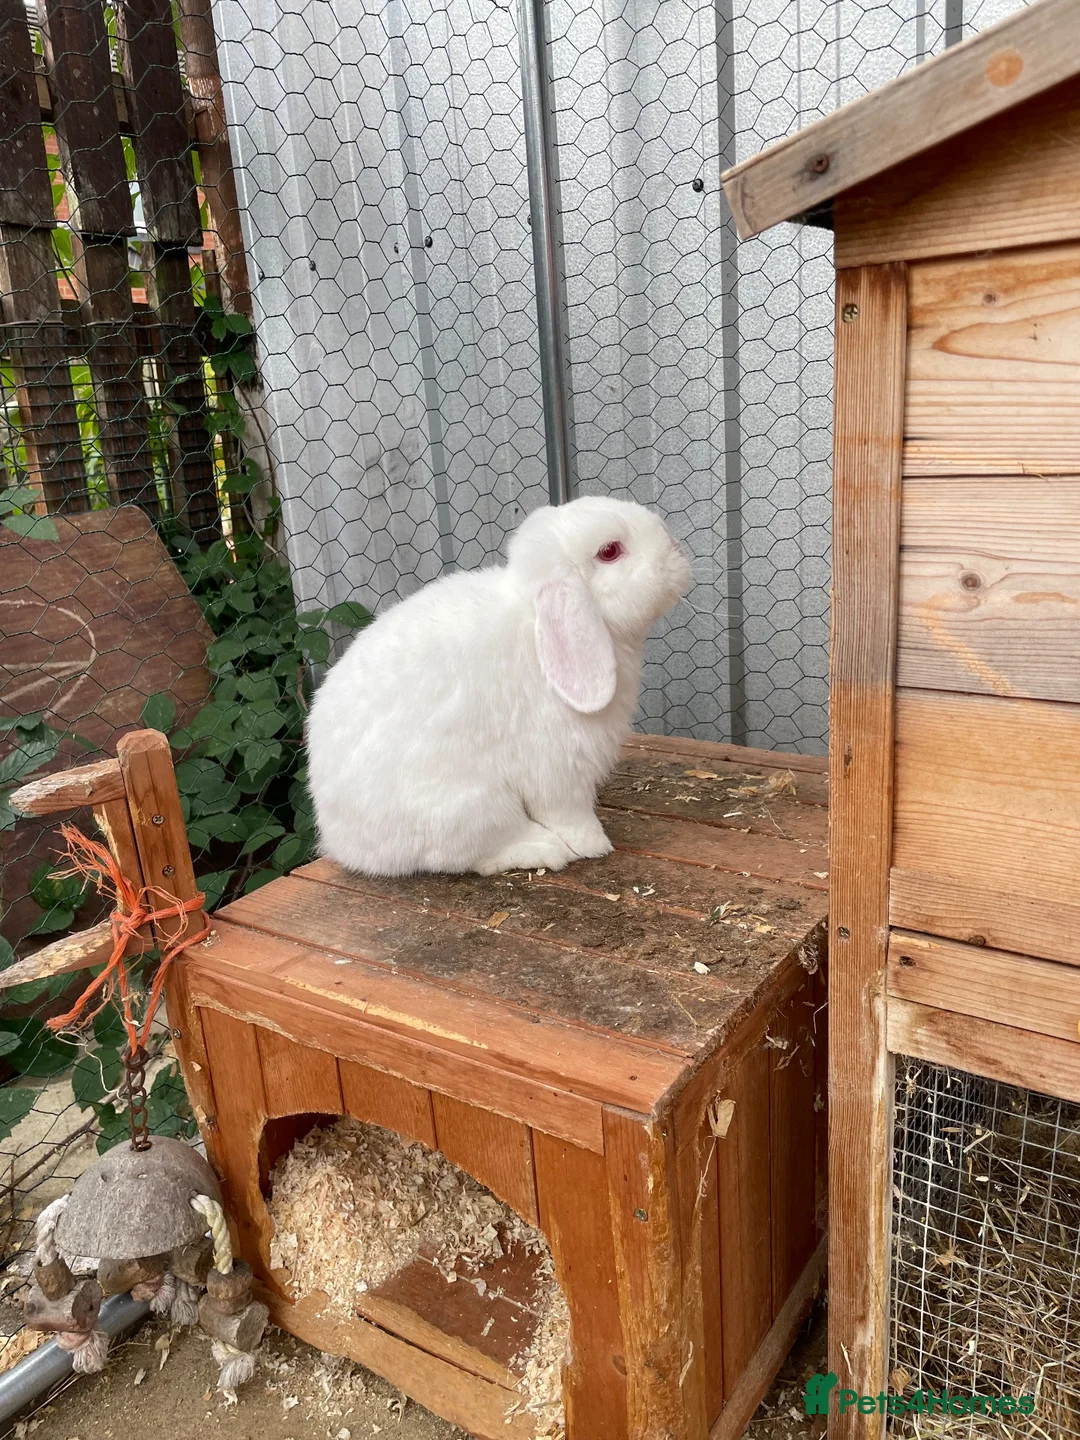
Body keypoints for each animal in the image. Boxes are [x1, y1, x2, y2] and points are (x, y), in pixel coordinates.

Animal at [306, 495, 693, 877]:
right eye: (610, 551)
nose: (676, 549)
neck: (535, 623)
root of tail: (343, 844)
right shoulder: (560, 765)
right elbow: (567, 813)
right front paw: (593, 844)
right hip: (473, 805)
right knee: (471, 855)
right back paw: (544, 848)